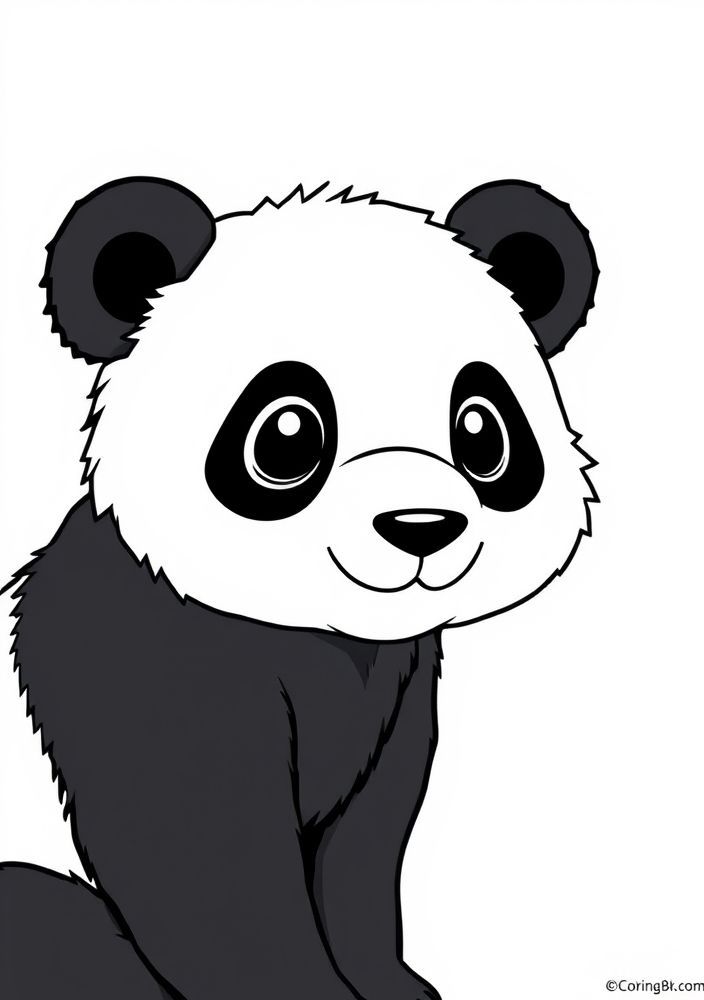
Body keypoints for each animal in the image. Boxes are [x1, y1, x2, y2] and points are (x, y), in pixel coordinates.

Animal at [1, 176, 598, 1000]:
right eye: (288, 433)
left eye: (482, 430)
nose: (421, 527)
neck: (308, 618)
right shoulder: (141, 651)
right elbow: (202, 853)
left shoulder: (401, 678)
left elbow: (367, 837)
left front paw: (389, 984)